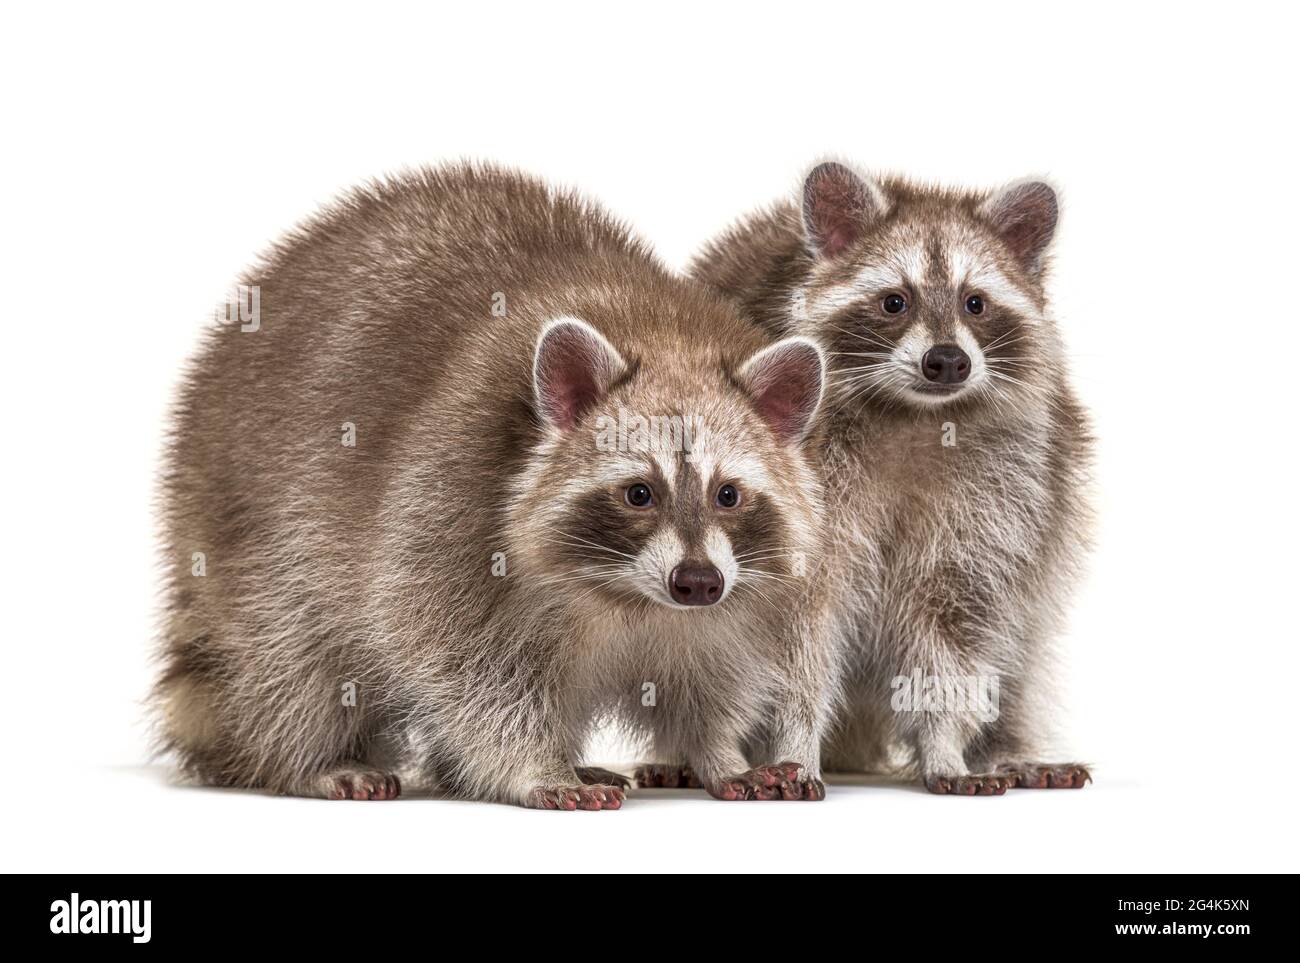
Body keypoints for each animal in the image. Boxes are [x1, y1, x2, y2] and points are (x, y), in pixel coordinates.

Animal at [157, 163, 832, 808]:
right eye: (639, 493)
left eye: (728, 494)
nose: (696, 582)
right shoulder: (444, 507)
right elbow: (467, 675)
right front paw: (535, 767)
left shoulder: (732, 596)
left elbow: (709, 679)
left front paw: (718, 754)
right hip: (246, 528)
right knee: (290, 657)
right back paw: (312, 760)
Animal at [688, 162, 1093, 794]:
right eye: (894, 302)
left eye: (975, 303)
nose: (948, 360)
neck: (917, 416)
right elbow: (792, 638)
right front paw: (793, 744)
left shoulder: (1006, 488)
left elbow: (956, 623)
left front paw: (947, 746)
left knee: (1022, 644)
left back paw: (1006, 746)